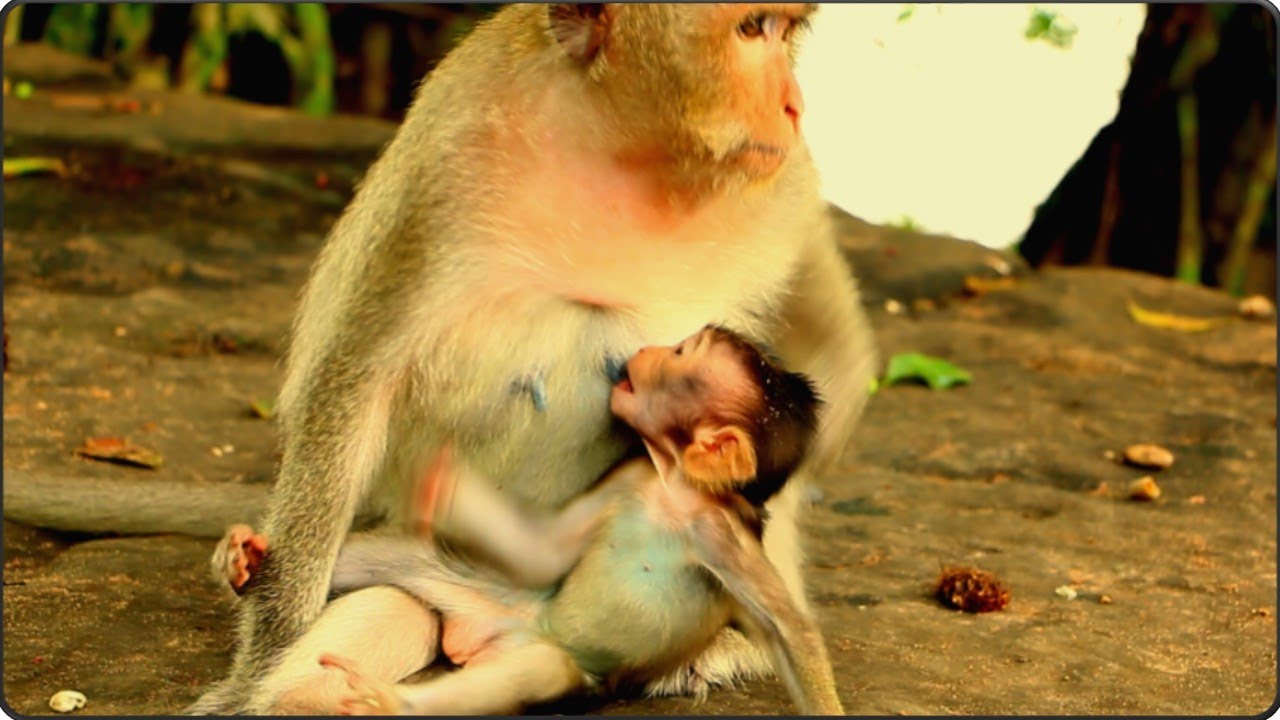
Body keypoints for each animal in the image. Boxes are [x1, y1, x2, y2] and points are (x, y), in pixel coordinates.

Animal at [215, 326, 845, 715]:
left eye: (682, 355)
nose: (648, 351)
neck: (672, 491)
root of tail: (492, 635)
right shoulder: (631, 479)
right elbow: (544, 552)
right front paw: (442, 485)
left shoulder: (719, 536)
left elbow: (789, 630)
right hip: (476, 594)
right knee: (386, 560)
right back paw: (249, 564)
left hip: (559, 661)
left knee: (525, 675)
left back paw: (394, 701)